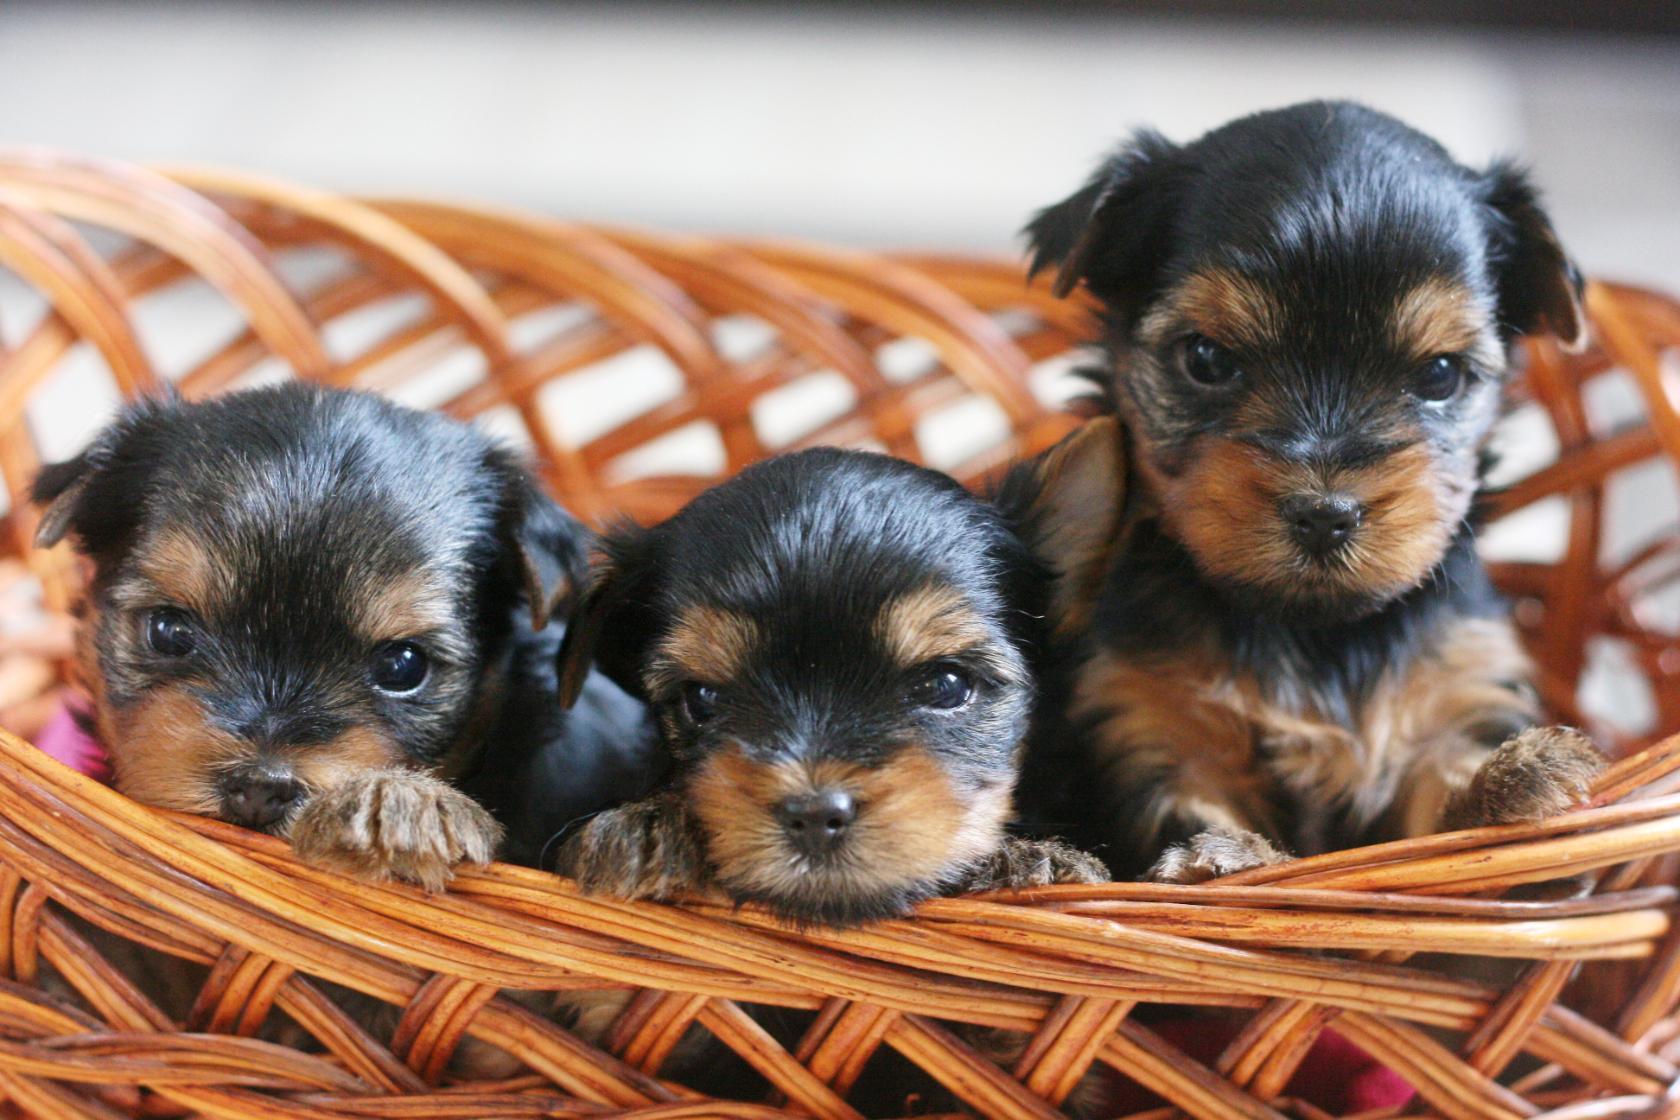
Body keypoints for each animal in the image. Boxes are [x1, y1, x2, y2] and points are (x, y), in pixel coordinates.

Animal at [1014, 100, 1606, 879]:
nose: (1325, 513)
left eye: (1440, 375)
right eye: (1207, 359)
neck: (1314, 633)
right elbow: (1192, 806)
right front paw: (1227, 853)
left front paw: (1511, 781)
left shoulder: (1457, 686)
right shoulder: (1144, 719)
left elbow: (1438, 795)